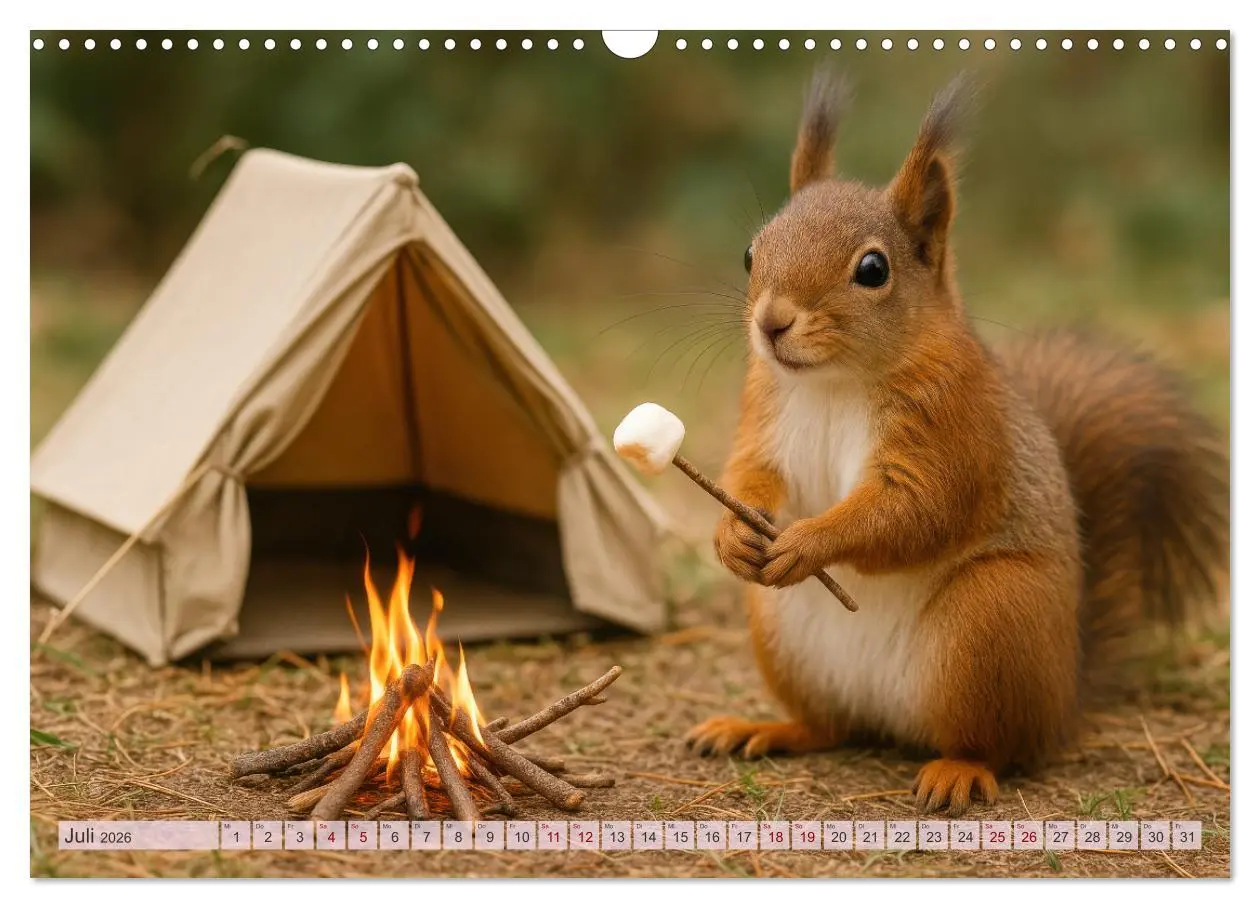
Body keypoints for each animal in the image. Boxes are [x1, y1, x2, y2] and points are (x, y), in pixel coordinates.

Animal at [686, 70, 1229, 817]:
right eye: (750, 252)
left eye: (873, 269)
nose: (771, 324)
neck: (835, 381)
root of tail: (1065, 695)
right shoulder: (764, 410)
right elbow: (751, 473)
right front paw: (732, 534)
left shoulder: (954, 426)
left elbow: (916, 510)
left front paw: (809, 541)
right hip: (780, 630)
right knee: (829, 726)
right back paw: (764, 728)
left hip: (991, 619)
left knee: (997, 743)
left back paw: (959, 770)